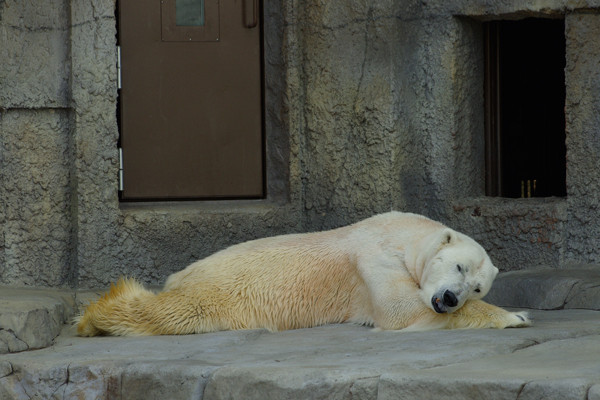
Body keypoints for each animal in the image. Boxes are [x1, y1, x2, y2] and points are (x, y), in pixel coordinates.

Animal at [75, 211, 528, 336]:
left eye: (477, 287)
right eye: (458, 266)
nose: (450, 298)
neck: (404, 233)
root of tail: (182, 274)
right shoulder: (375, 257)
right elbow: (399, 309)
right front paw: (515, 315)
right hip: (224, 290)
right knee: (177, 312)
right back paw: (96, 313)